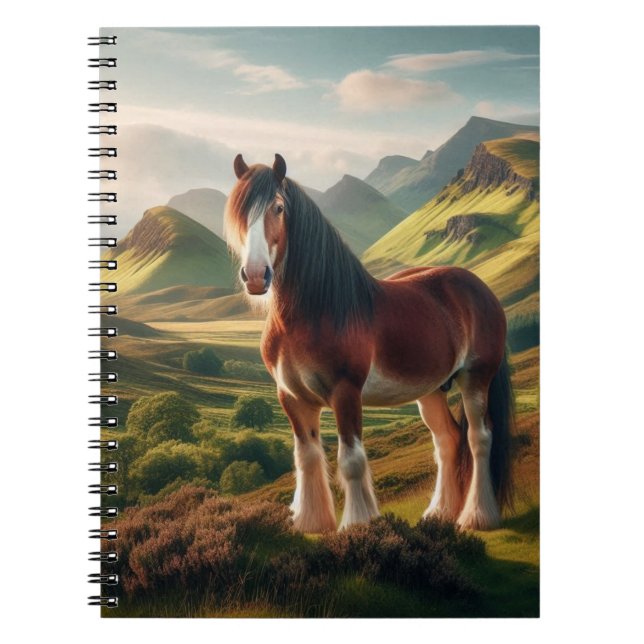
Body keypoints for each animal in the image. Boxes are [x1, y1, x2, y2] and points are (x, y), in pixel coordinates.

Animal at [224, 153, 514, 533]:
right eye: (239, 211)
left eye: (278, 207)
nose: (257, 276)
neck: (314, 310)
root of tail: (483, 290)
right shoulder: (292, 397)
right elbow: (306, 457)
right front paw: (311, 522)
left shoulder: (345, 392)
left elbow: (351, 460)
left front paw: (358, 525)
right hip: (431, 390)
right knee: (447, 440)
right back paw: (439, 514)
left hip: (475, 379)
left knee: (479, 439)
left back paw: (477, 517)